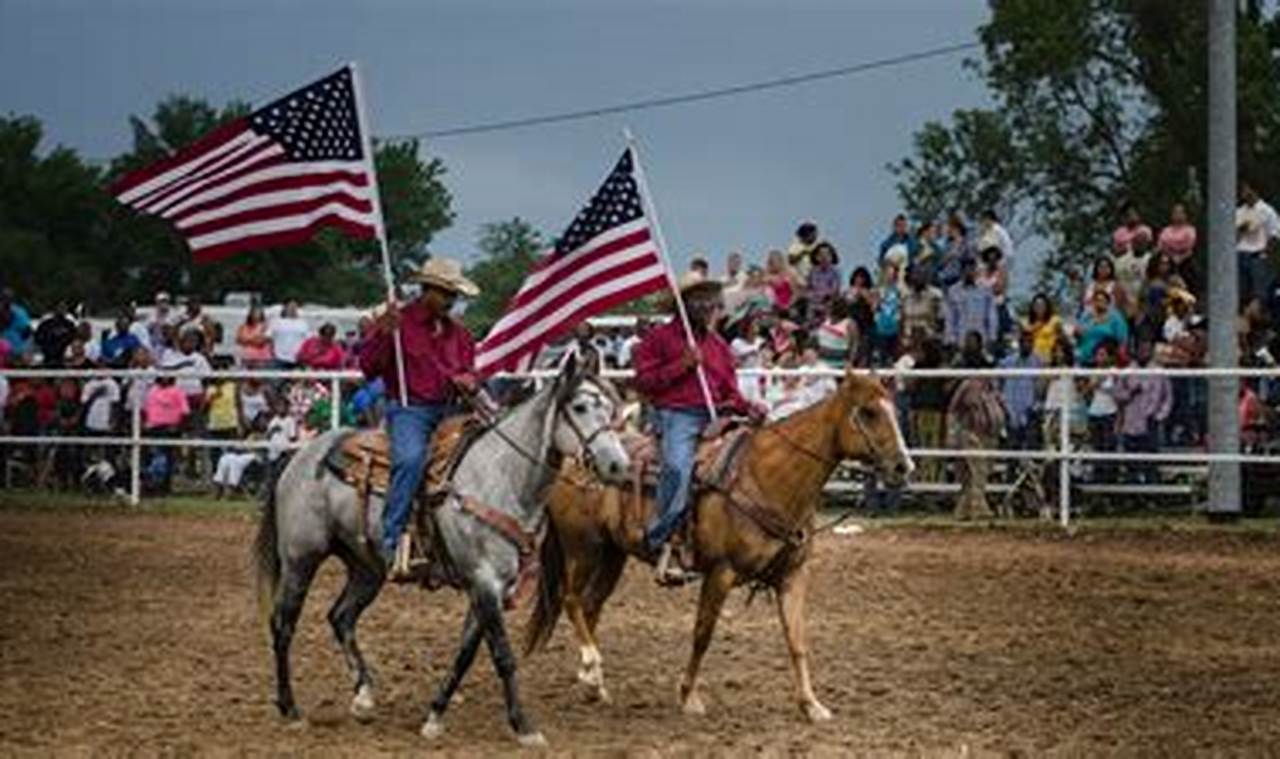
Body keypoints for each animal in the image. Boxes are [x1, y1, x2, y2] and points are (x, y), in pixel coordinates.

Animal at [250, 355, 629, 747]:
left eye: (609, 406)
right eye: (580, 407)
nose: (619, 465)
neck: (501, 478)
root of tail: (300, 457)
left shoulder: (489, 589)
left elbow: (465, 654)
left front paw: (434, 715)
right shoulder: (484, 582)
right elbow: (503, 655)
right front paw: (524, 726)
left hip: (366, 568)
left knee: (341, 617)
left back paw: (364, 697)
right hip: (300, 559)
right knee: (283, 625)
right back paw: (290, 709)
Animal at [524, 373, 916, 721]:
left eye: (891, 409)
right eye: (868, 412)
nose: (904, 465)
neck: (766, 479)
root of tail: (573, 459)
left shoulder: (793, 575)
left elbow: (797, 640)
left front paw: (811, 705)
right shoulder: (721, 572)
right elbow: (702, 634)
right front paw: (688, 696)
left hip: (611, 555)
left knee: (590, 606)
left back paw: (593, 683)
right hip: (583, 549)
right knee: (571, 600)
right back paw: (591, 668)